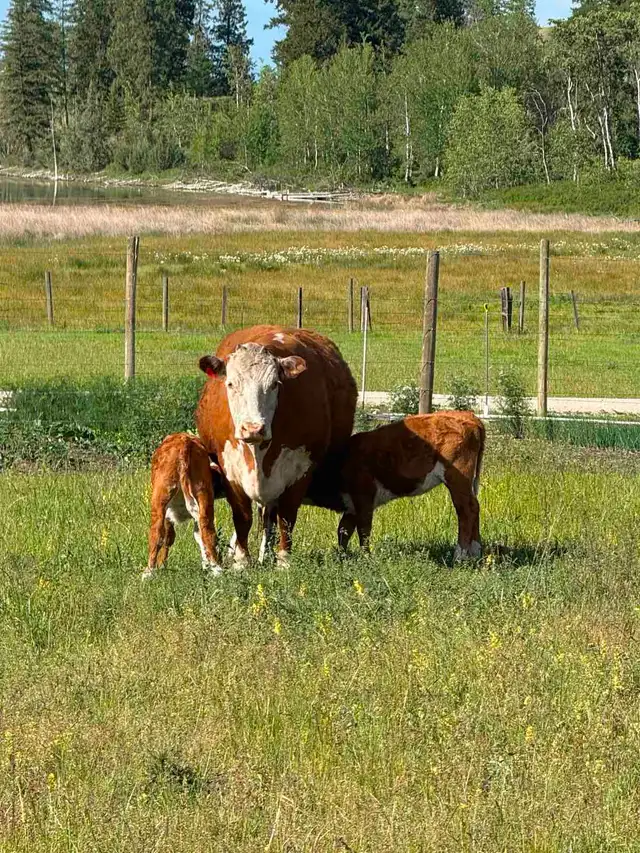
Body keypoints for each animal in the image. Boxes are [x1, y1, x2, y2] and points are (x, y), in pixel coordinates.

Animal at [143, 432, 225, 579]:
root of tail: (184, 440)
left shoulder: (168, 515)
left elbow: (168, 538)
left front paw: (162, 566)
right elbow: (198, 536)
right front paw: (206, 565)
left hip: (160, 499)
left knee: (156, 533)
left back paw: (149, 572)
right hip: (203, 494)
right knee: (207, 531)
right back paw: (216, 569)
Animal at [196, 325, 357, 567]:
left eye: (274, 385)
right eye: (231, 384)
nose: (253, 428)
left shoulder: (301, 469)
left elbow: (286, 517)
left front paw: (283, 559)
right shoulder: (229, 469)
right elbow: (242, 516)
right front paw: (241, 560)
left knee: (271, 516)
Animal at [306, 411, 485, 562]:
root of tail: (468, 415)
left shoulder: (364, 496)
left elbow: (364, 529)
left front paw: (366, 557)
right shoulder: (351, 504)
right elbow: (344, 530)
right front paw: (342, 556)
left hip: (457, 479)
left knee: (466, 510)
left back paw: (459, 556)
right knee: (475, 507)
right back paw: (475, 553)